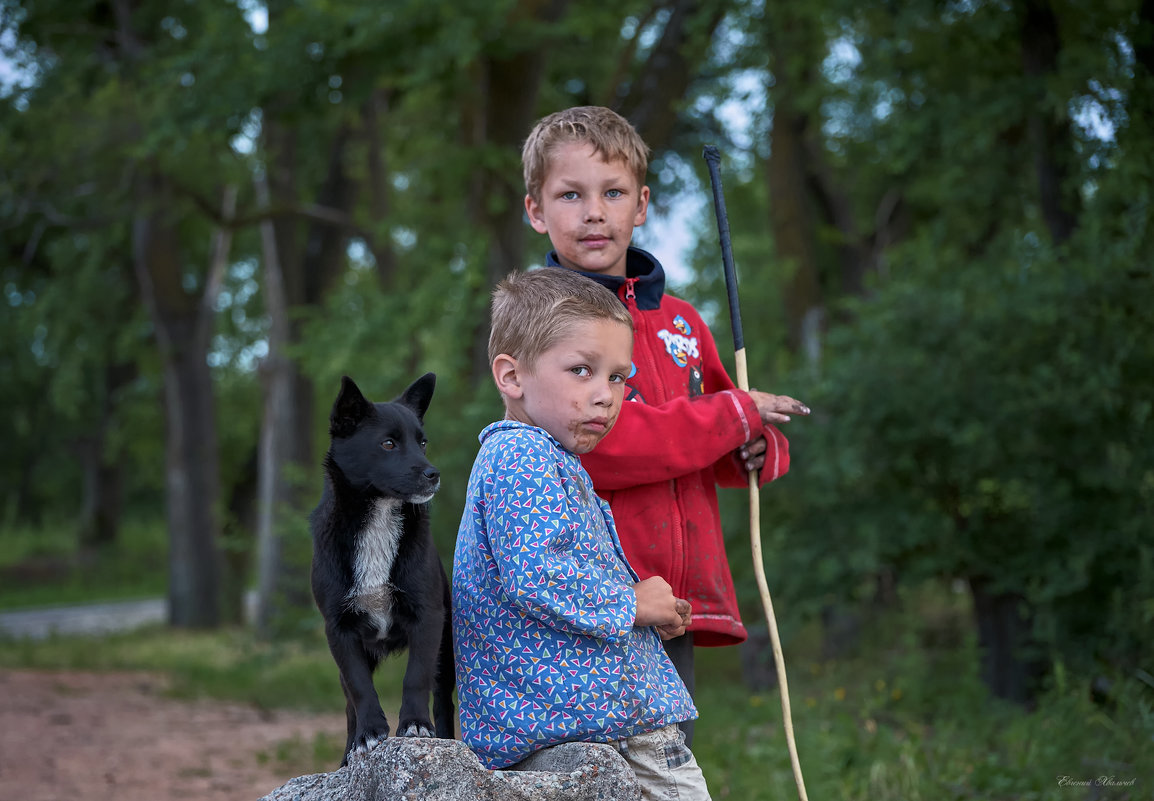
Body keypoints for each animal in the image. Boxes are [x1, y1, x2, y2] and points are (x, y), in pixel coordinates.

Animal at [311, 373, 454, 770]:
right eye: (388, 444)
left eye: (422, 442)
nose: (434, 474)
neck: (379, 517)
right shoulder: (340, 630)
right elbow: (360, 689)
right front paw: (368, 736)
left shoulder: (428, 618)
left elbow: (416, 677)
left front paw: (417, 726)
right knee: (349, 703)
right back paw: (348, 756)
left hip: (447, 649)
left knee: (443, 696)